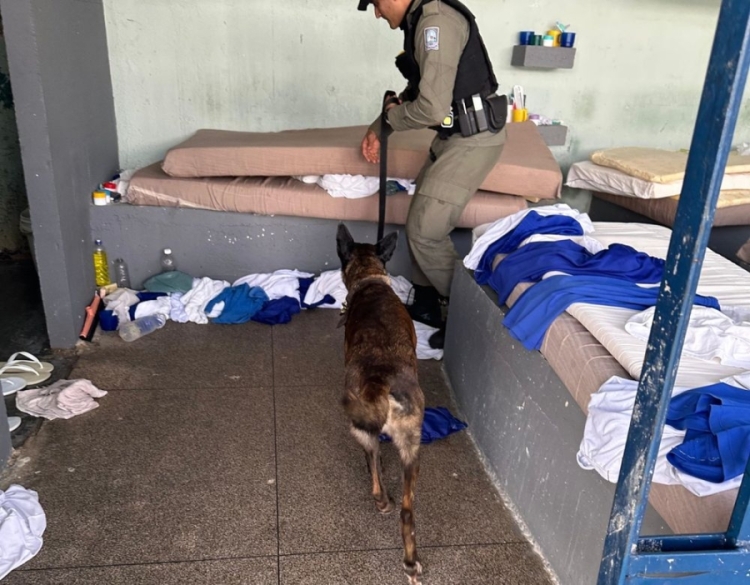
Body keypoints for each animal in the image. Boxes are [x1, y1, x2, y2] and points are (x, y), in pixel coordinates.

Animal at [336, 225, 426, 584]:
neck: (370, 279)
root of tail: (381, 381)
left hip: (364, 431)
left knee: (373, 470)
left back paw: (382, 500)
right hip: (412, 446)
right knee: (407, 510)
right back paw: (410, 563)